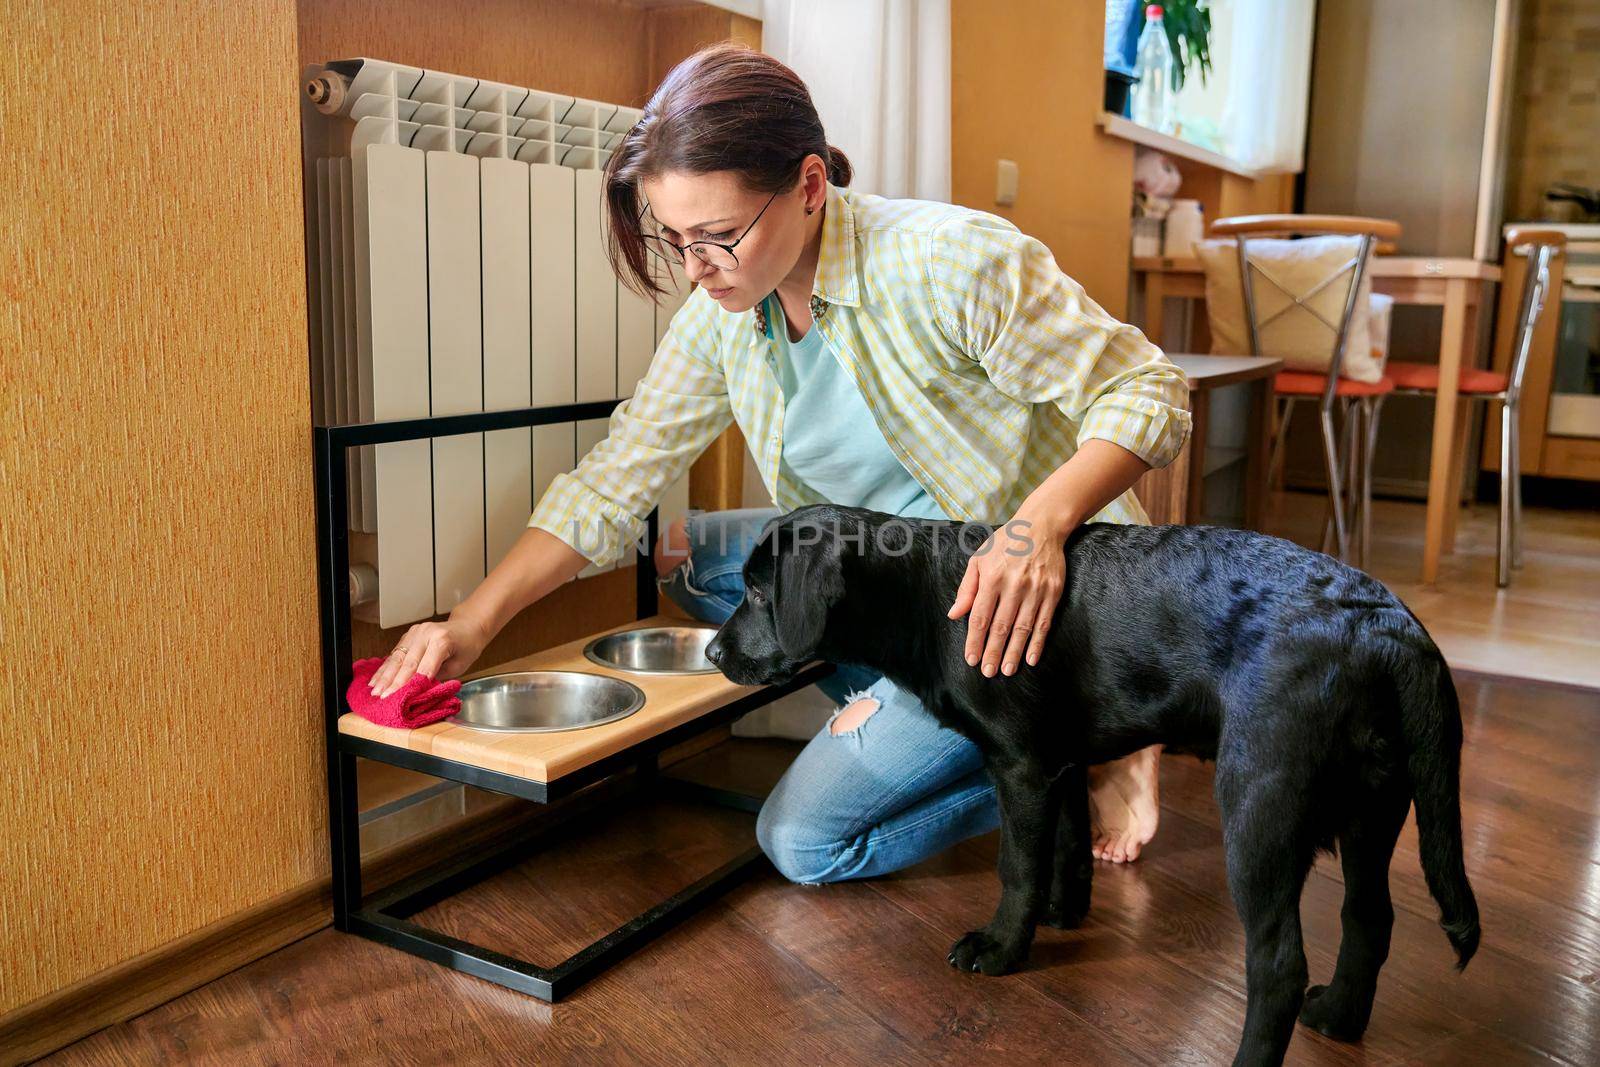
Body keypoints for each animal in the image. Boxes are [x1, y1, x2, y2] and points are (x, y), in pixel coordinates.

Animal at [707, 502, 1478, 1067]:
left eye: (758, 591)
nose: (712, 652)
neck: (929, 597)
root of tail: (1391, 627)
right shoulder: (1059, 762)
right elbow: (1068, 842)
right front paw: (1062, 912)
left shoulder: (1019, 766)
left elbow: (1017, 864)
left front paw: (1000, 948)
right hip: (1375, 805)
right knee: (1369, 919)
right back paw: (1341, 1017)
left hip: (1262, 810)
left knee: (1279, 966)